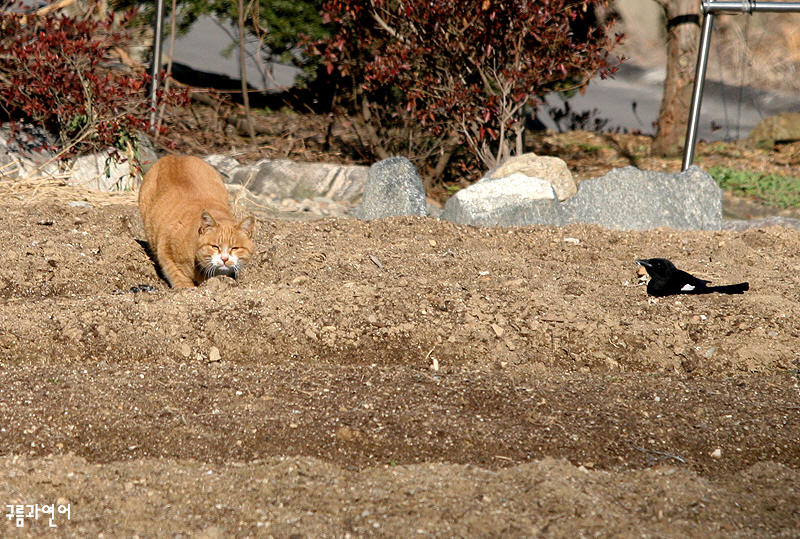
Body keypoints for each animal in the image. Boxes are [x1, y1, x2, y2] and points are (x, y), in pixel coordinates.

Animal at [139, 155, 255, 288]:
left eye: (235, 248)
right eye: (215, 247)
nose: (225, 259)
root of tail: (175, 156)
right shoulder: (166, 248)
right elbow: (178, 276)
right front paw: (187, 288)